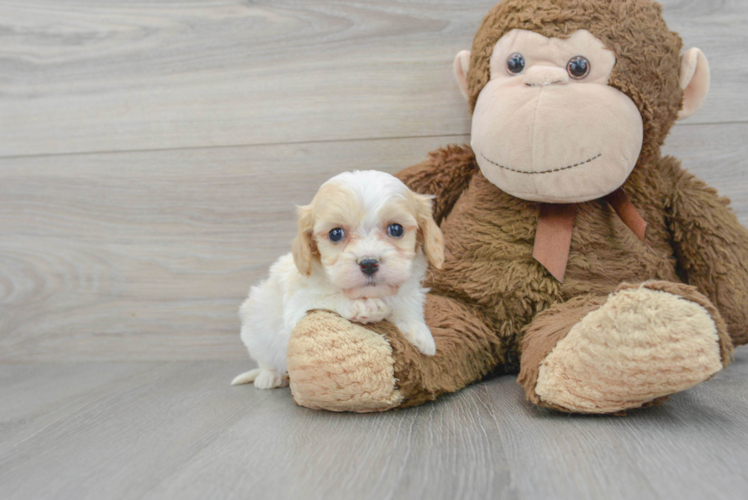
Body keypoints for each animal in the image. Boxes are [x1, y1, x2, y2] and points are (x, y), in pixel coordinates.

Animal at [231, 170, 444, 388]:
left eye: (396, 229)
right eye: (335, 234)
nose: (369, 263)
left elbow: (407, 305)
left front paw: (420, 332)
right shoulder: (298, 305)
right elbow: (326, 297)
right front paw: (362, 306)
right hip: (256, 327)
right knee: (265, 359)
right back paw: (269, 376)